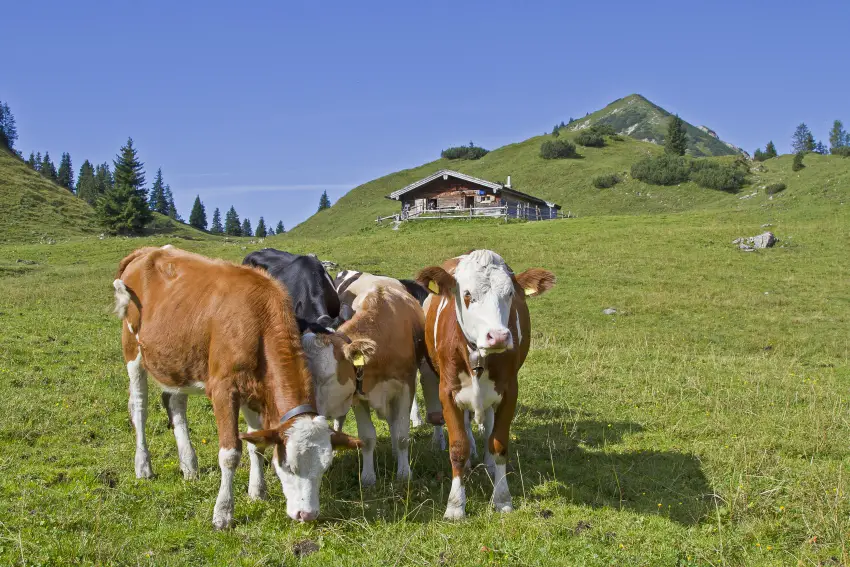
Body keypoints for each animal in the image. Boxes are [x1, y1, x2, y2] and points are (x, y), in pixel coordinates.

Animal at [112, 246, 358, 532]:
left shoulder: (255, 389)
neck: (257, 320)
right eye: (288, 465)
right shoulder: (223, 389)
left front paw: (257, 492)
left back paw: (189, 465)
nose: (307, 515)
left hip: (177, 359)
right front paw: (223, 513)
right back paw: (143, 466)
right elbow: (230, 454)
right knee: (139, 407)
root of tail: (147, 251)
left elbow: (256, 443)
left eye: (325, 466)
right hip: (132, 349)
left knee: (176, 405)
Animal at [298, 286, 424, 486]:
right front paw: (368, 477)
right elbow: (367, 437)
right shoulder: (358, 394)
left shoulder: (406, 387)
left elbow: (402, 435)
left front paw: (404, 473)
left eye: (328, 377)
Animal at [414, 248, 552, 520]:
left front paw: (502, 498)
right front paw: (455, 505)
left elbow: (499, 443)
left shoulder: (510, 392)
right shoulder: (447, 392)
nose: (497, 336)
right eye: (467, 294)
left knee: (488, 423)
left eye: (510, 294)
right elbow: (458, 447)